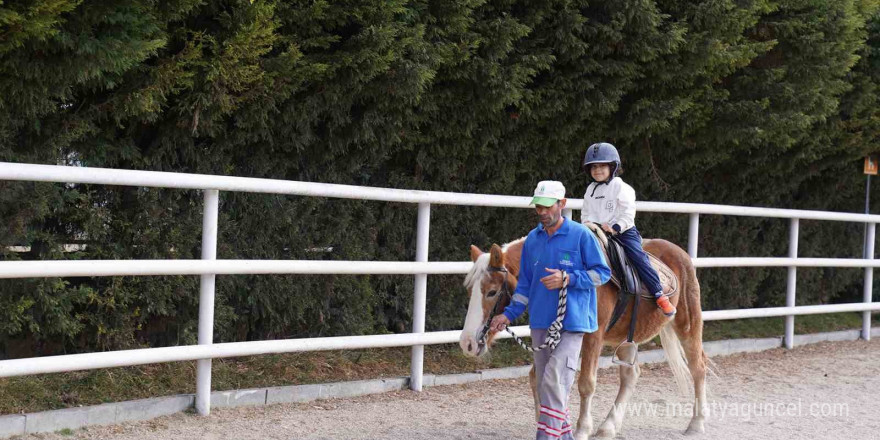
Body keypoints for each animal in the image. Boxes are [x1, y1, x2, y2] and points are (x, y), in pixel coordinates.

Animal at [460, 229, 708, 438]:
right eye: (470, 290)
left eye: (492, 292)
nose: (467, 343)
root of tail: (680, 254)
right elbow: (538, 378)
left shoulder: (593, 337)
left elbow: (586, 383)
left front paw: (581, 430)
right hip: (630, 337)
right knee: (631, 375)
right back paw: (609, 427)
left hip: (687, 325)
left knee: (698, 367)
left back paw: (696, 424)